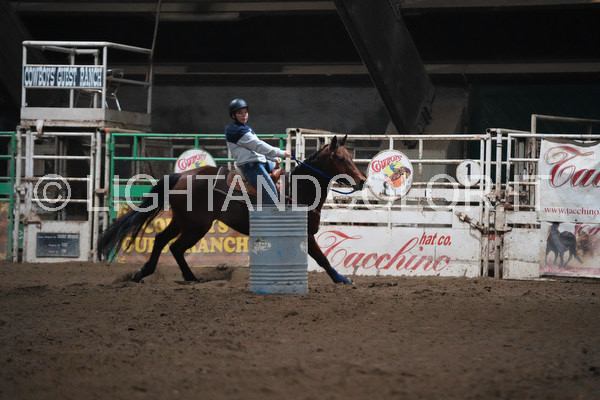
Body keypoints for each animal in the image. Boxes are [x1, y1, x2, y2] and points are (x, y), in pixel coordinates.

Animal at [98, 135, 366, 285]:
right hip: (196, 226)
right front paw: (342, 279)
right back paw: (186, 276)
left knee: (163, 240)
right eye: (340, 158)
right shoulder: (306, 235)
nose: (362, 181)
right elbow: (322, 258)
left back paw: (147, 273)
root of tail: (181, 176)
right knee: (175, 246)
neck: (299, 189)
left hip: (182, 221)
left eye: (351, 156)